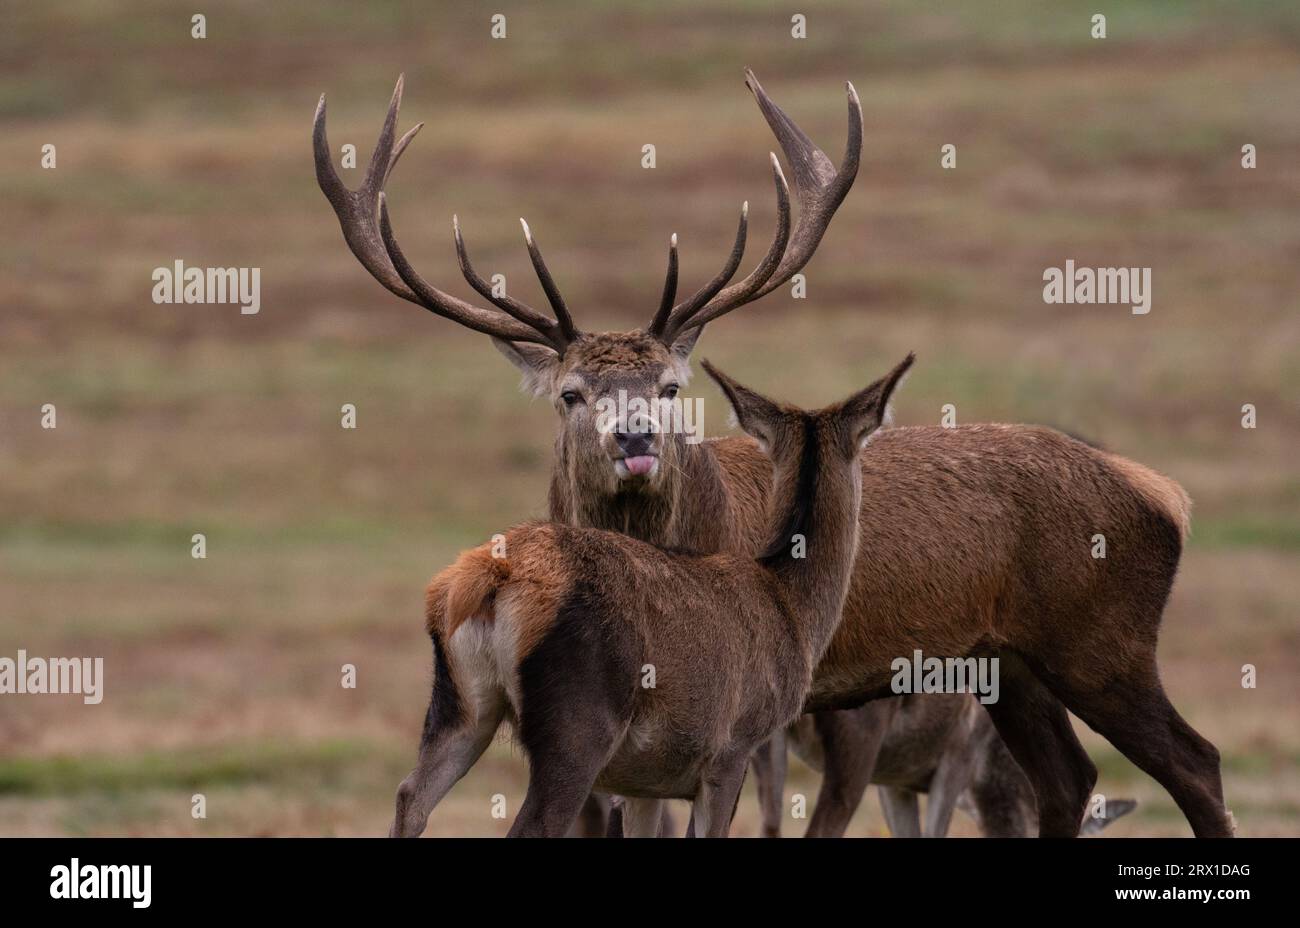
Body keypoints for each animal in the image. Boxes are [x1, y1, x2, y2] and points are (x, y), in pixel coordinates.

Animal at [313, 72, 1232, 838]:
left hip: (1102, 641)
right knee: (1069, 779)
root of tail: (1166, 495)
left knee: (1195, 761)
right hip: (1012, 663)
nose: (636, 443)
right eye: (572, 394)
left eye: (671, 386)